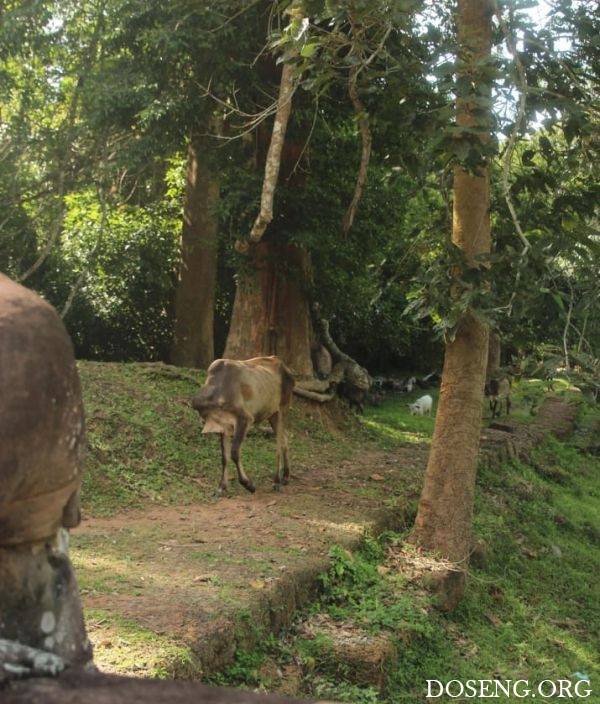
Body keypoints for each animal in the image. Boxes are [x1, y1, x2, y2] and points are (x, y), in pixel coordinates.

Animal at [192, 358, 296, 496]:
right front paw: (221, 488)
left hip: (282, 409)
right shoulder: (225, 427)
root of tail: (285, 367)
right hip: (272, 415)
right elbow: (224, 457)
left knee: (279, 446)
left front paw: (248, 485)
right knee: (285, 439)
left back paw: (276, 482)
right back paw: (285, 476)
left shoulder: (244, 419)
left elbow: (234, 453)